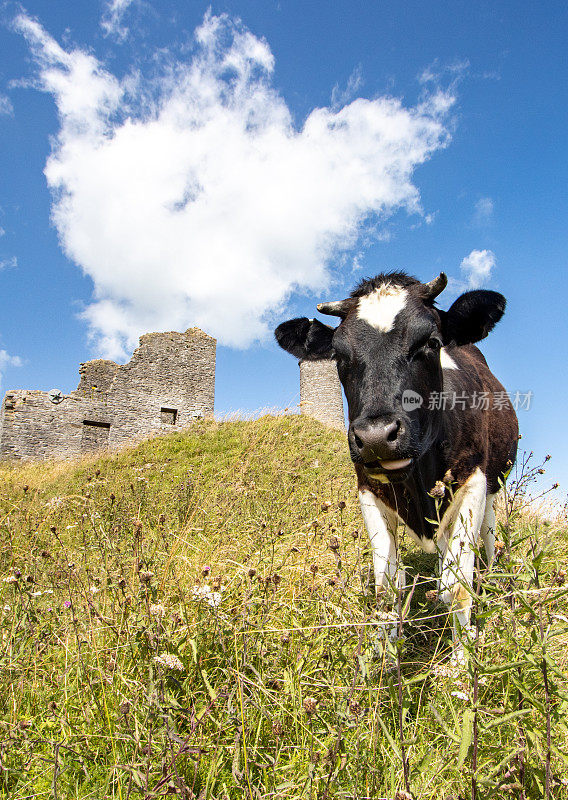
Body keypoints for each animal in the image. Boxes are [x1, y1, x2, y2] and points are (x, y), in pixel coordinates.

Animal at [276, 272, 520, 660]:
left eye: (431, 342)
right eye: (338, 355)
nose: (376, 436)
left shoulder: (473, 481)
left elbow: (458, 586)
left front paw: (462, 662)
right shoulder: (369, 488)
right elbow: (387, 585)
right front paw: (385, 656)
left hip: (496, 484)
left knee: (488, 535)